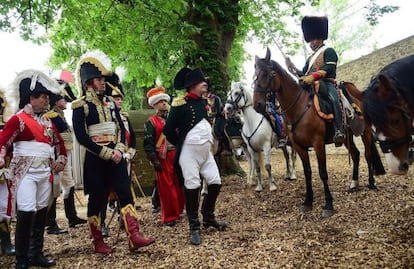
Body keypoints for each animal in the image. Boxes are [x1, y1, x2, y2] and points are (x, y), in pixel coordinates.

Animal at [252, 47, 384, 216]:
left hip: (365, 133)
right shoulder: (299, 146)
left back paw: (371, 183)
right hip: (346, 137)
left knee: (367, 155)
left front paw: (328, 204)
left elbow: (322, 172)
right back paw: (354, 183)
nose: (257, 105)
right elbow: (307, 171)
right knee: (355, 154)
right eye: (255, 75)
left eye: (268, 74)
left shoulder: (318, 144)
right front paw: (308, 201)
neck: (300, 106)